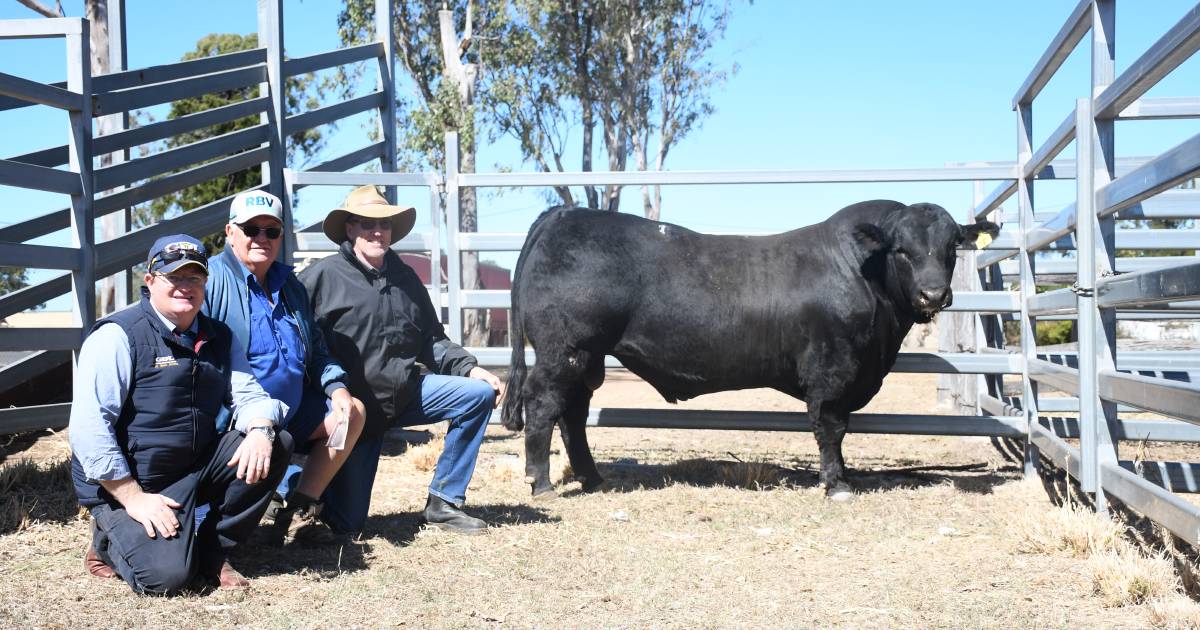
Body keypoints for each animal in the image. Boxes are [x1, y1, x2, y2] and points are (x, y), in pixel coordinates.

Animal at [501, 199, 998, 499]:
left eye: (952, 246)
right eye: (902, 249)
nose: (934, 295)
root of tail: (566, 214)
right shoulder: (832, 371)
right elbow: (832, 428)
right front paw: (836, 483)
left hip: (587, 358)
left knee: (574, 414)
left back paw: (592, 477)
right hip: (564, 351)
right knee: (544, 406)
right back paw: (541, 483)